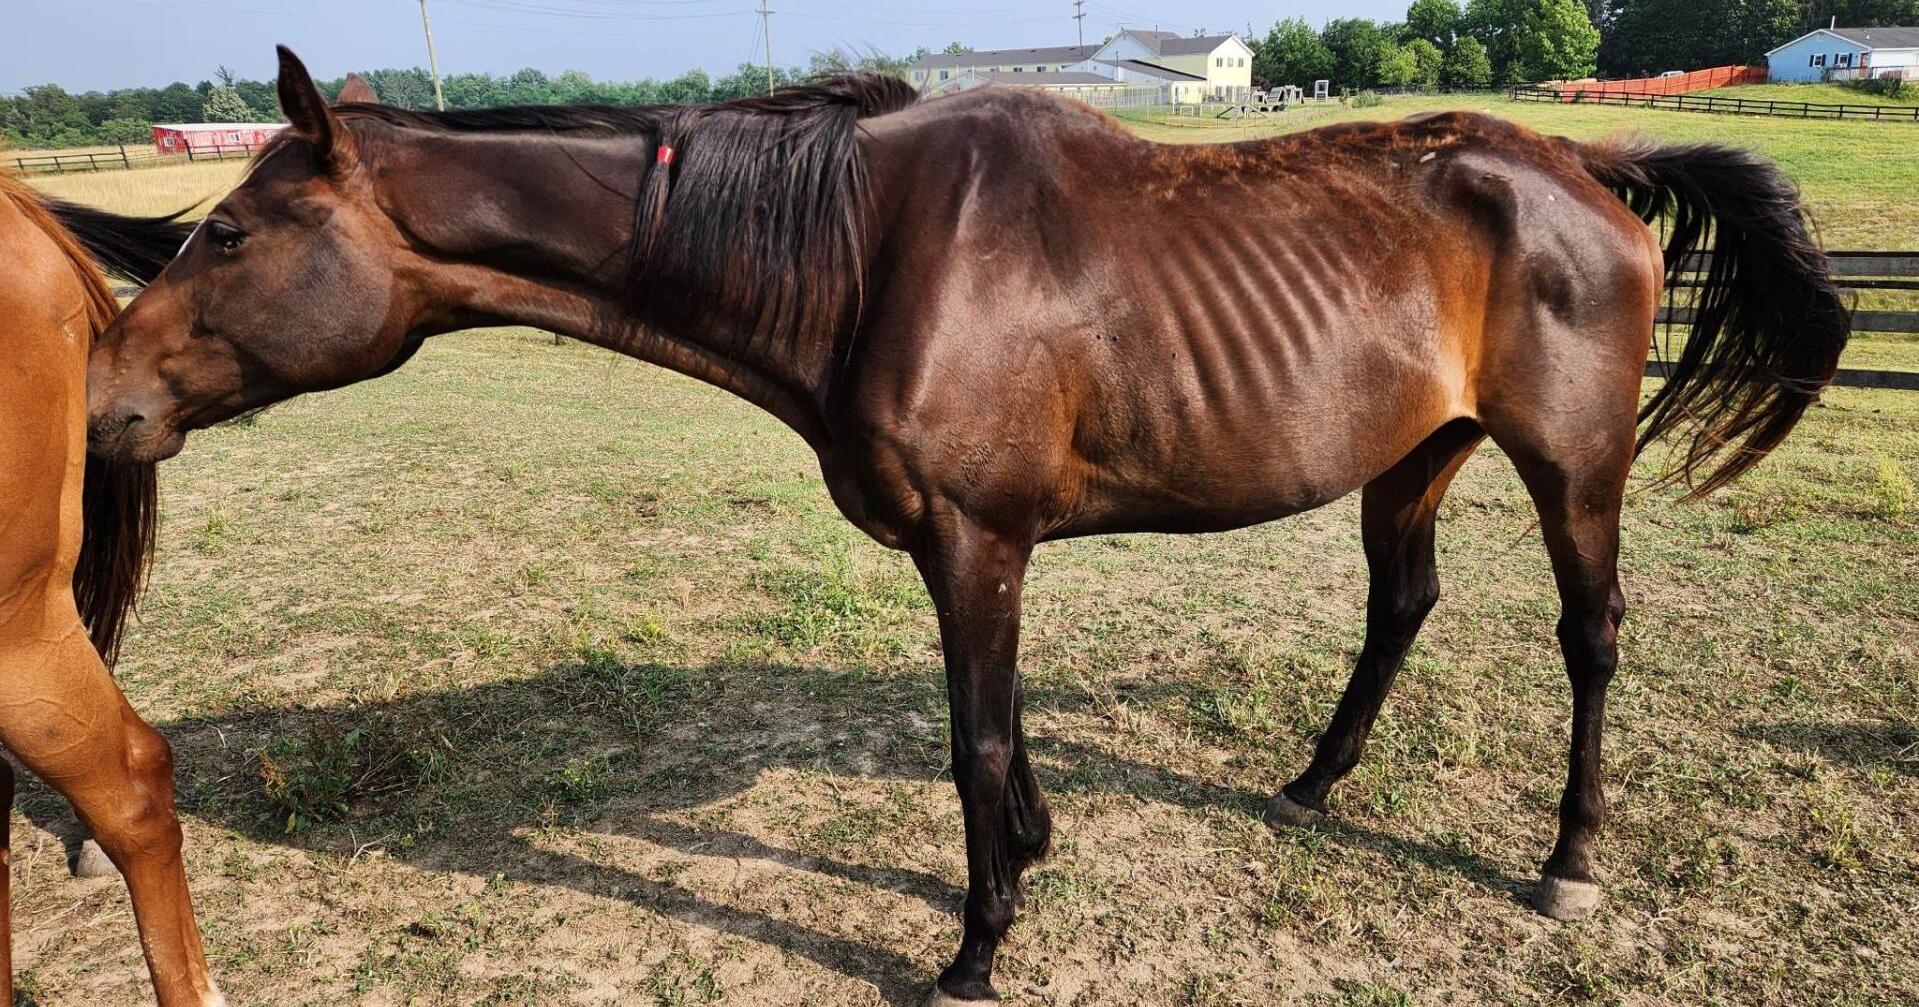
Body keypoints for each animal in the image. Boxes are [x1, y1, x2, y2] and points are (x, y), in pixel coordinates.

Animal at [87, 47, 1850, 1006]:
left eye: (227, 231)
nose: (97, 393)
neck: (863, 250)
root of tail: (1585, 161)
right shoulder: (984, 550)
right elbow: (997, 725)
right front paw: (1037, 850)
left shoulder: (972, 541)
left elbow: (972, 735)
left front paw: (978, 938)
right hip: (1415, 449)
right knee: (1398, 601)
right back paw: (1312, 779)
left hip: (1569, 462)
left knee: (1586, 633)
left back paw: (1565, 856)